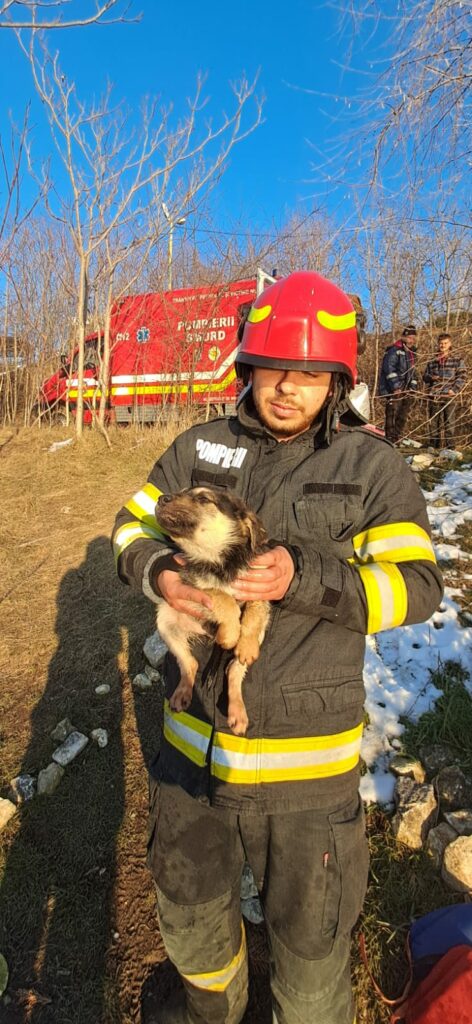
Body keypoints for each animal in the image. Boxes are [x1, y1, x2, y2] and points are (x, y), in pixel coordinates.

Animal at [155, 487, 268, 737]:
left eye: (203, 498)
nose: (160, 498)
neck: (218, 560)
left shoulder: (261, 583)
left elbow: (254, 610)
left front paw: (245, 643)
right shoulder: (192, 585)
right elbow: (224, 598)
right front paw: (230, 634)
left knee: (233, 669)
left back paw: (237, 711)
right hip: (165, 622)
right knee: (190, 664)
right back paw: (182, 692)